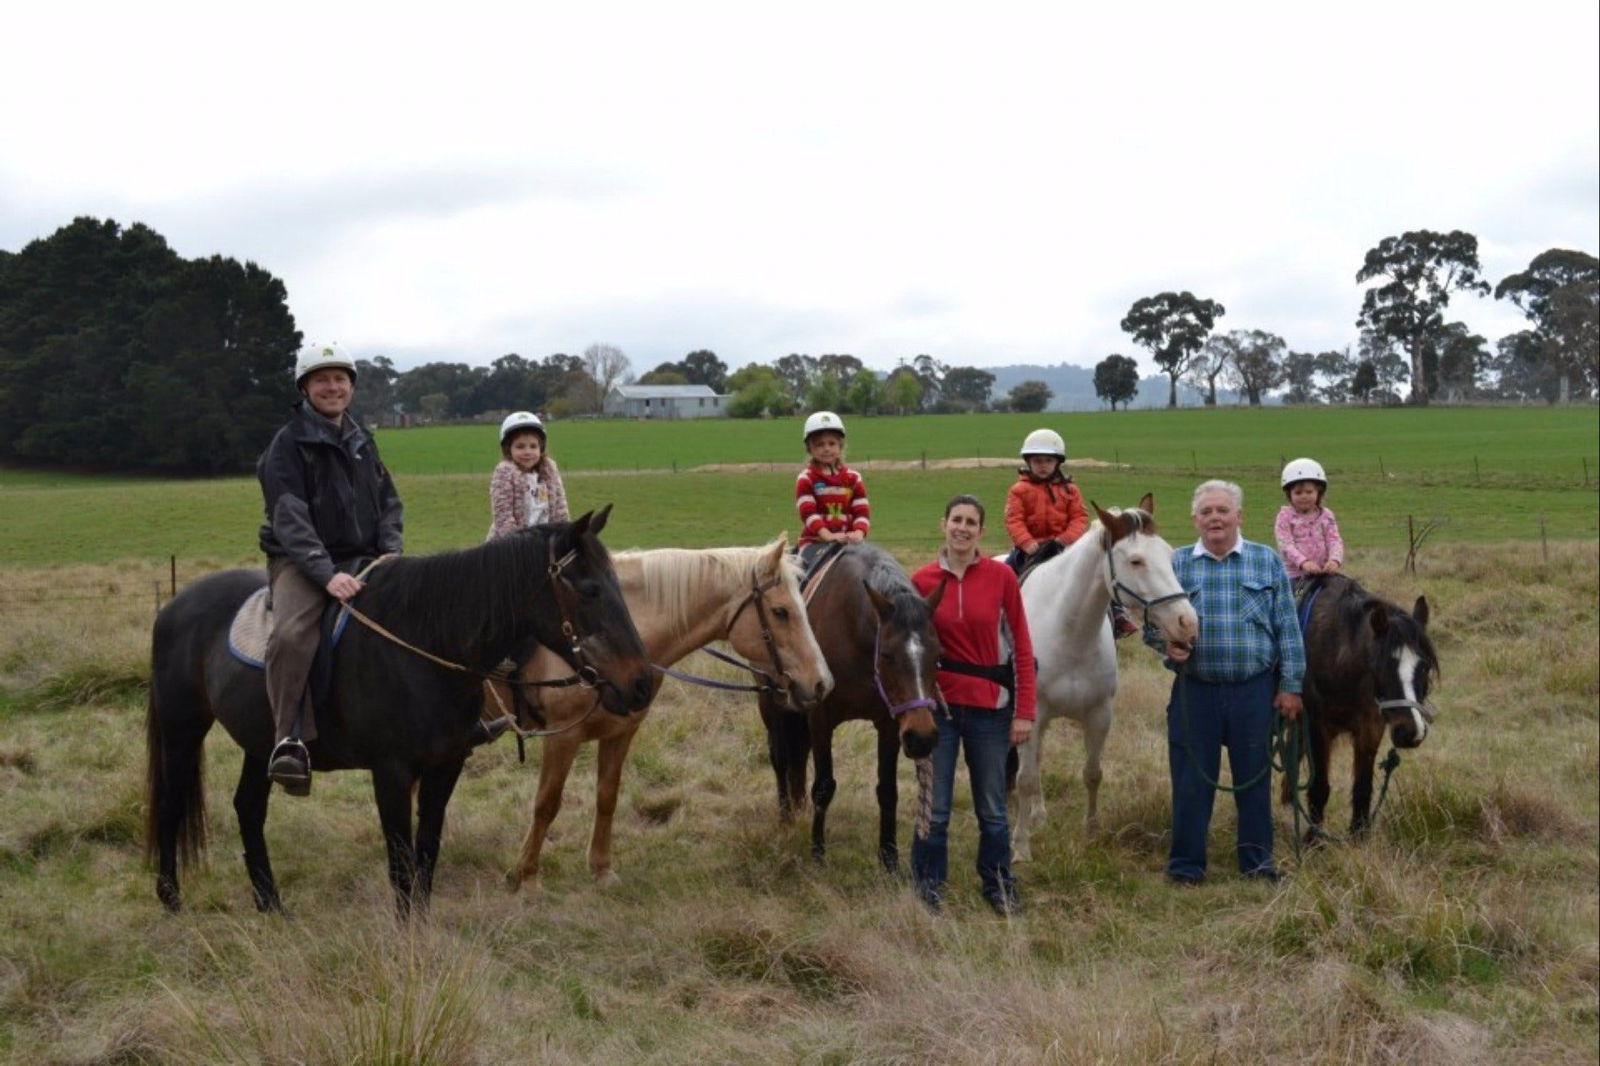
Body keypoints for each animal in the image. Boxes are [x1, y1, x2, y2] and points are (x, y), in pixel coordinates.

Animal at [144, 508, 652, 915]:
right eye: (589, 589)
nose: (641, 684)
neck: (425, 643)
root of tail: (173, 606)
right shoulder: (390, 772)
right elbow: (401, 859)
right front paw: (407, 934)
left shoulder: (445, 766)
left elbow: (426, 851)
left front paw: (421, 929)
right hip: (183, 728)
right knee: (171, 803)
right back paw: (170, 898)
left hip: (260, 742)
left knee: (248, 808)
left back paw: (271, 905)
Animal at [502, 534, 832, 889]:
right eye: (780, 611)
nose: (821, 683)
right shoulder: (564, 735)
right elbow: (546, 803)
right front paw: (525, 874)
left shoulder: (621, 730)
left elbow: (607, 797)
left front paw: (601, 869)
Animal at [758, 544, 940, 870]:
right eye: (888, 655)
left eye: (938, 654)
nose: (922, 737)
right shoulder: (820, 718)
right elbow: (823, 786)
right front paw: (818, 854)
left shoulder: (890, 723)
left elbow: (887, 790)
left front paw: (889, 859)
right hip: (772, 706)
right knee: (780, 759)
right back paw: (787, 820)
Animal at [1004, 492, 1196, 857]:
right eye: (1136, 561)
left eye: (1167, 553)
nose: (1187, 622)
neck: (1069, 630)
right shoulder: (1031, 716)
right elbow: (1025, 778)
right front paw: (1020, 846)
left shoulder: (1099, 715)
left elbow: (1093, 774)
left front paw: (1091, 832)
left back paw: (1039, 813)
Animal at [1286, 573, 1440, 838]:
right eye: (1381, 666)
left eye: (1425, 666)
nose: (1411, 732)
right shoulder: (1316, 727)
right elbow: (1320, 787)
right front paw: (1313, 840)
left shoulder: (1371, 726)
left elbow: (1363, 786)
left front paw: (1359, 834)